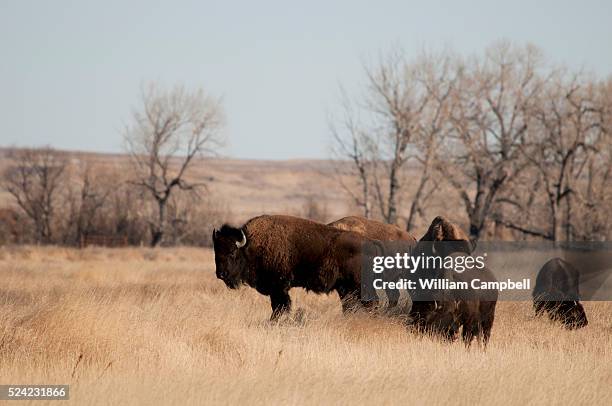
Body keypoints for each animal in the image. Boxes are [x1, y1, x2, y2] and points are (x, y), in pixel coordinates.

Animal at [213, 214, 380, 322]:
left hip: (359, 286)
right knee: (350, 306)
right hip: (345, 288)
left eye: (232, 252)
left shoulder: (278, 288)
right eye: (216, 251)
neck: (250, 246)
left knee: (371, 304)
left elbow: (280, 306)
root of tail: (371, 243)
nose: (221, 274)